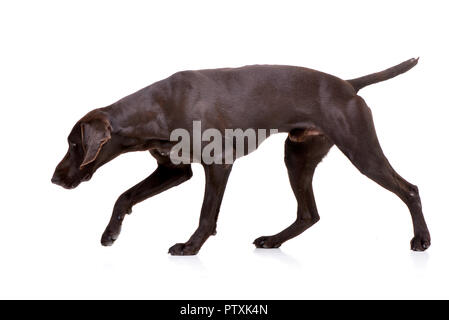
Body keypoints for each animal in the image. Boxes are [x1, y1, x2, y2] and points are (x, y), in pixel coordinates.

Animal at [50, 58, 428, 255]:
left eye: (74, 145)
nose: (54, 179)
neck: (156, 109)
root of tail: (348, 85)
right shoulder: (174, 171)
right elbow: (123, 196)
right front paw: (111, 233)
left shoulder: (218, 164)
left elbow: (206, 214)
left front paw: (191, 246)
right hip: (297, 157)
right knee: (309, 214)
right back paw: (274, 240)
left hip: (362, 152)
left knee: (409, 190)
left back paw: (422, 239)